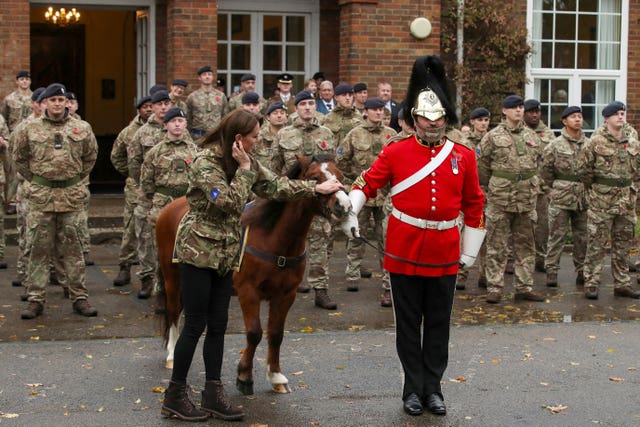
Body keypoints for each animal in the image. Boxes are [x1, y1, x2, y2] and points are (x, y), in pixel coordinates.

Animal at [158, 156, 352, 394]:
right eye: (315, 177)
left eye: (340, 176)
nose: (344, 205)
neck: (275, 240)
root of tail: (171, 207)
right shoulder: (248, 291)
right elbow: (254, 332)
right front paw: (244, 375)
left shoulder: (286, 294)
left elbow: (276, 333)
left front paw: (275, 375)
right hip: (172, 278)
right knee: (173, 311)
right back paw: (171, 354)